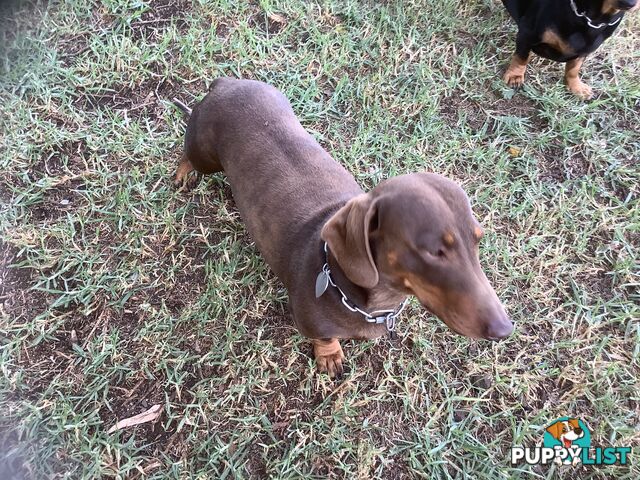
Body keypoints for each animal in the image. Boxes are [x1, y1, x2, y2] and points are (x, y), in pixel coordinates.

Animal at [175, 79, 516, 376]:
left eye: (478, 240)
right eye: (434, 251)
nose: (504, 329)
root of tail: (227, 83)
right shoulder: (309, 323)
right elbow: (324, 338)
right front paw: (330, 356)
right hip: (204, 153)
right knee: (188, 155)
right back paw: (183, 173)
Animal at [502, 0, 636, 98]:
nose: (629, 3)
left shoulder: (584, 51)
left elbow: (573, 68)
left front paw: (576, 86)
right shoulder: (526, 34)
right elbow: (521, 57)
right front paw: (515, 75)